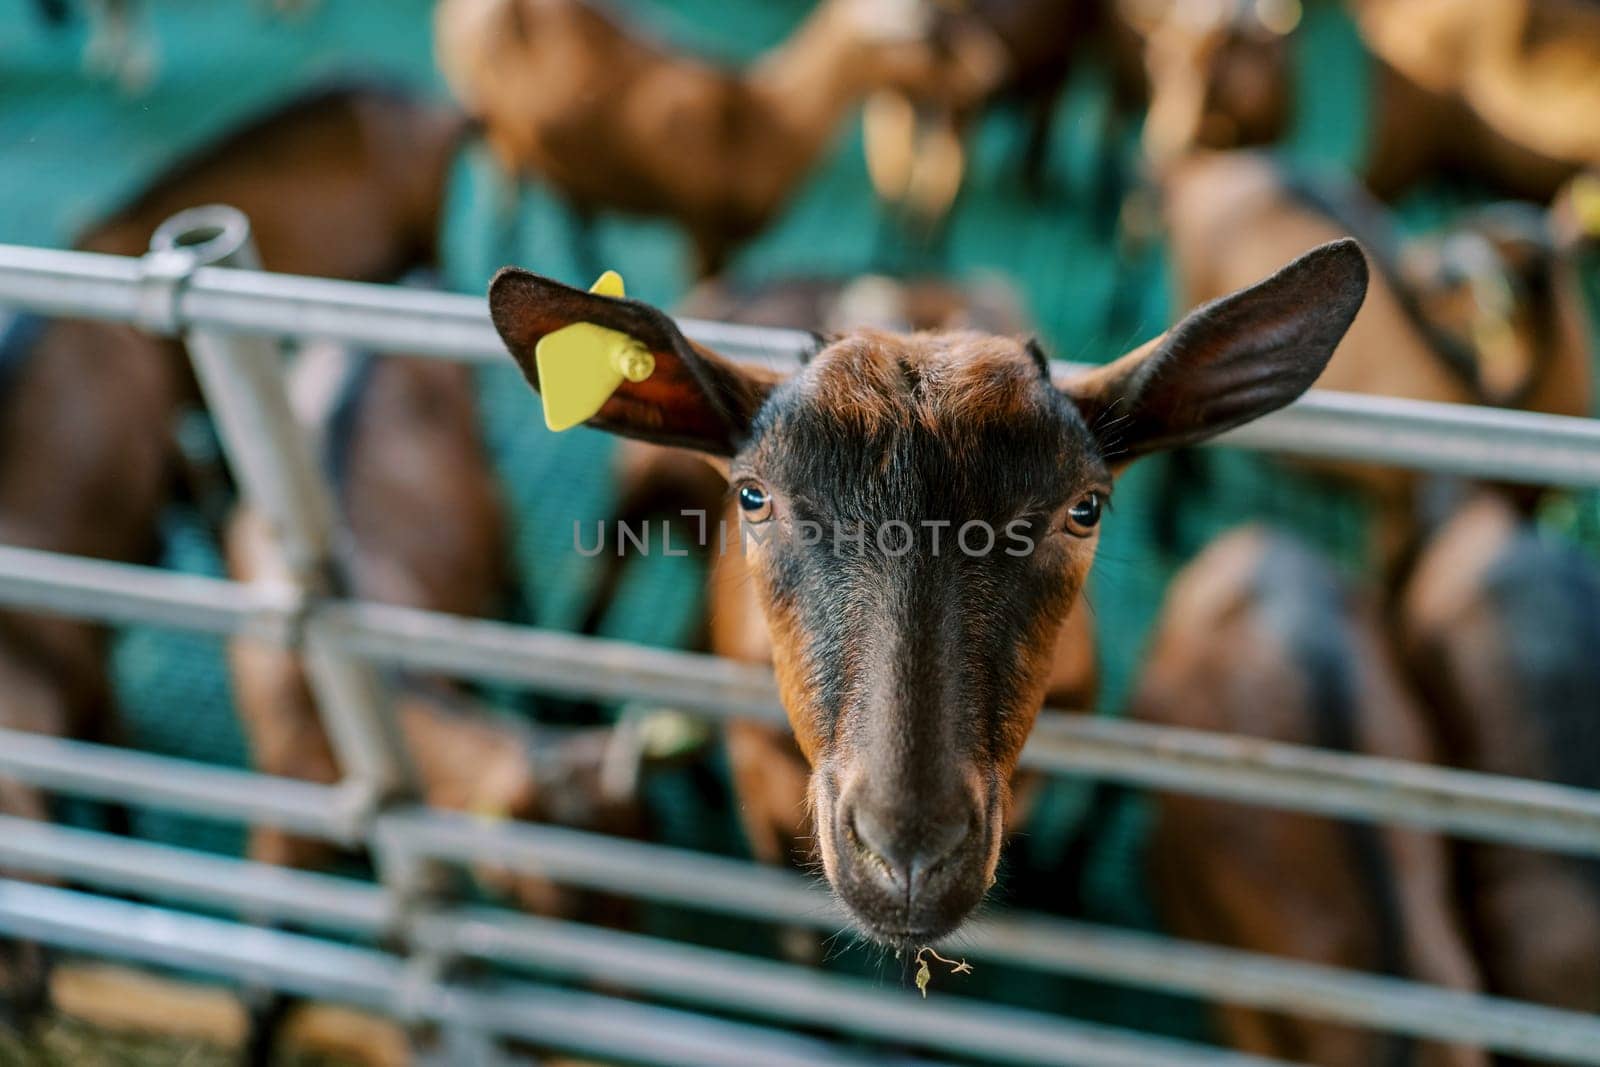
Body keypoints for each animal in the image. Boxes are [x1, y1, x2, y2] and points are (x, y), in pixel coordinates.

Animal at [435, 0, 947, 278]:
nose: (936, 114)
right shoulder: (700, 221)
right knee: (506, 184)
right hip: (491, 112)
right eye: (925, 38)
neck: (764, 125)